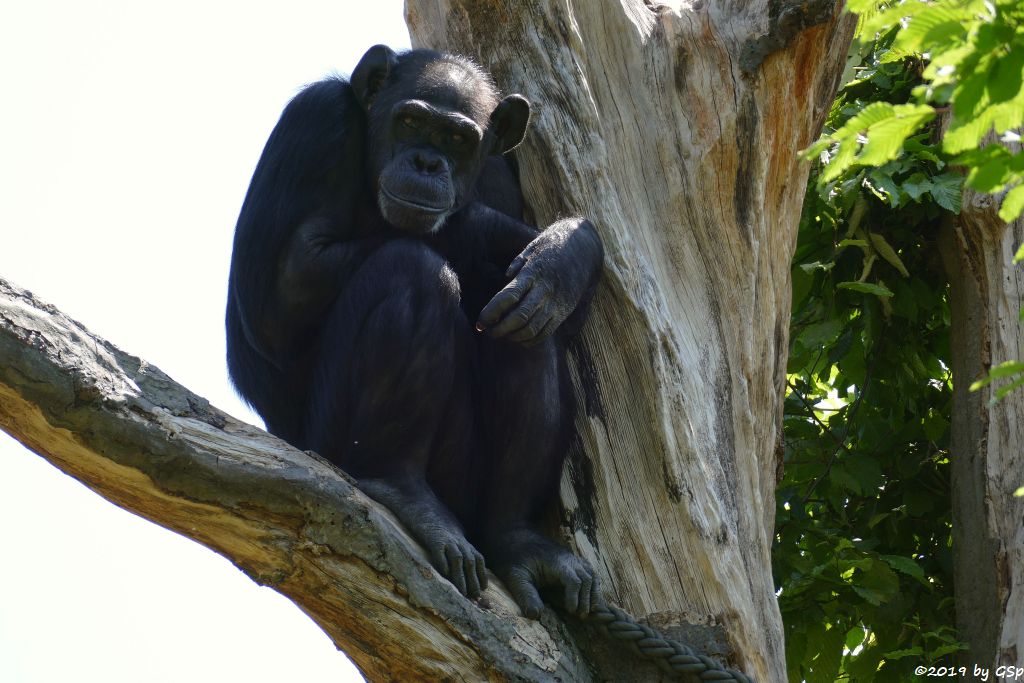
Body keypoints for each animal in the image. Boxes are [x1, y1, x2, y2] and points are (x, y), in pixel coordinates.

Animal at [228, 44, 602, 618]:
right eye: (410, 122)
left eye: (456, 139)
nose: (427, 163)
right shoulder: (314, 124)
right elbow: (281, 295)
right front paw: (519, 238)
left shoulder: (501, 170)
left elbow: (566, 308)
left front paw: (565, 255)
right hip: (330, 444)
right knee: (411, 267)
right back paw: (403, 490)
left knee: (525, 325)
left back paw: (515, 537)